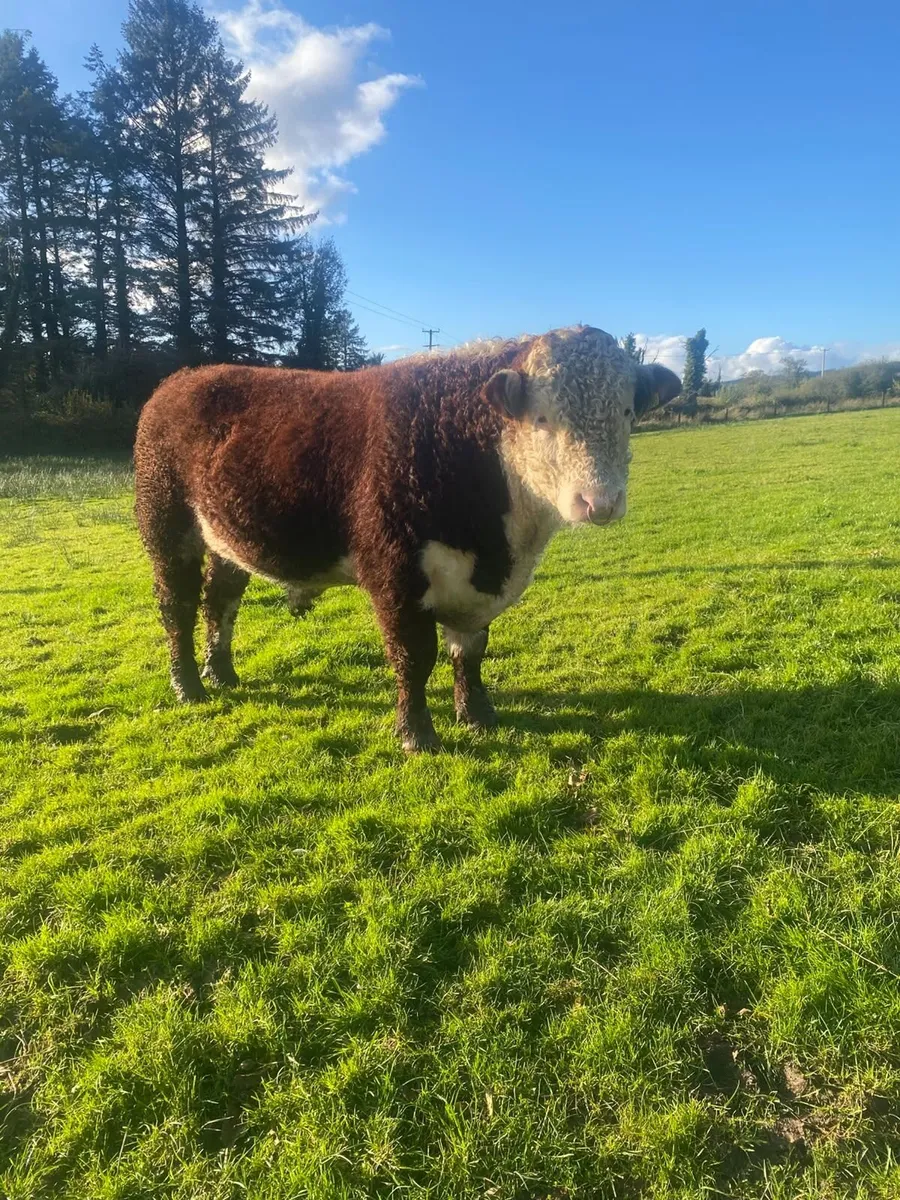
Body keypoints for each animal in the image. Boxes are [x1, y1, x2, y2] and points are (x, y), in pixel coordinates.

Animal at [133, 326, 680, 751]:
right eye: (543, 418)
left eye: (627, 412)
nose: (600, 502)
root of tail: (183, 379)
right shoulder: (394, 574)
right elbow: (415, 656)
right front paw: (417, 735)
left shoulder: (473, 588)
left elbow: (470, 651)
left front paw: (477, 715)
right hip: (166, 522)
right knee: (177, 604)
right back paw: (189, 686)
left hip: (226, 539)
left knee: (220, 600)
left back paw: (221, 673)